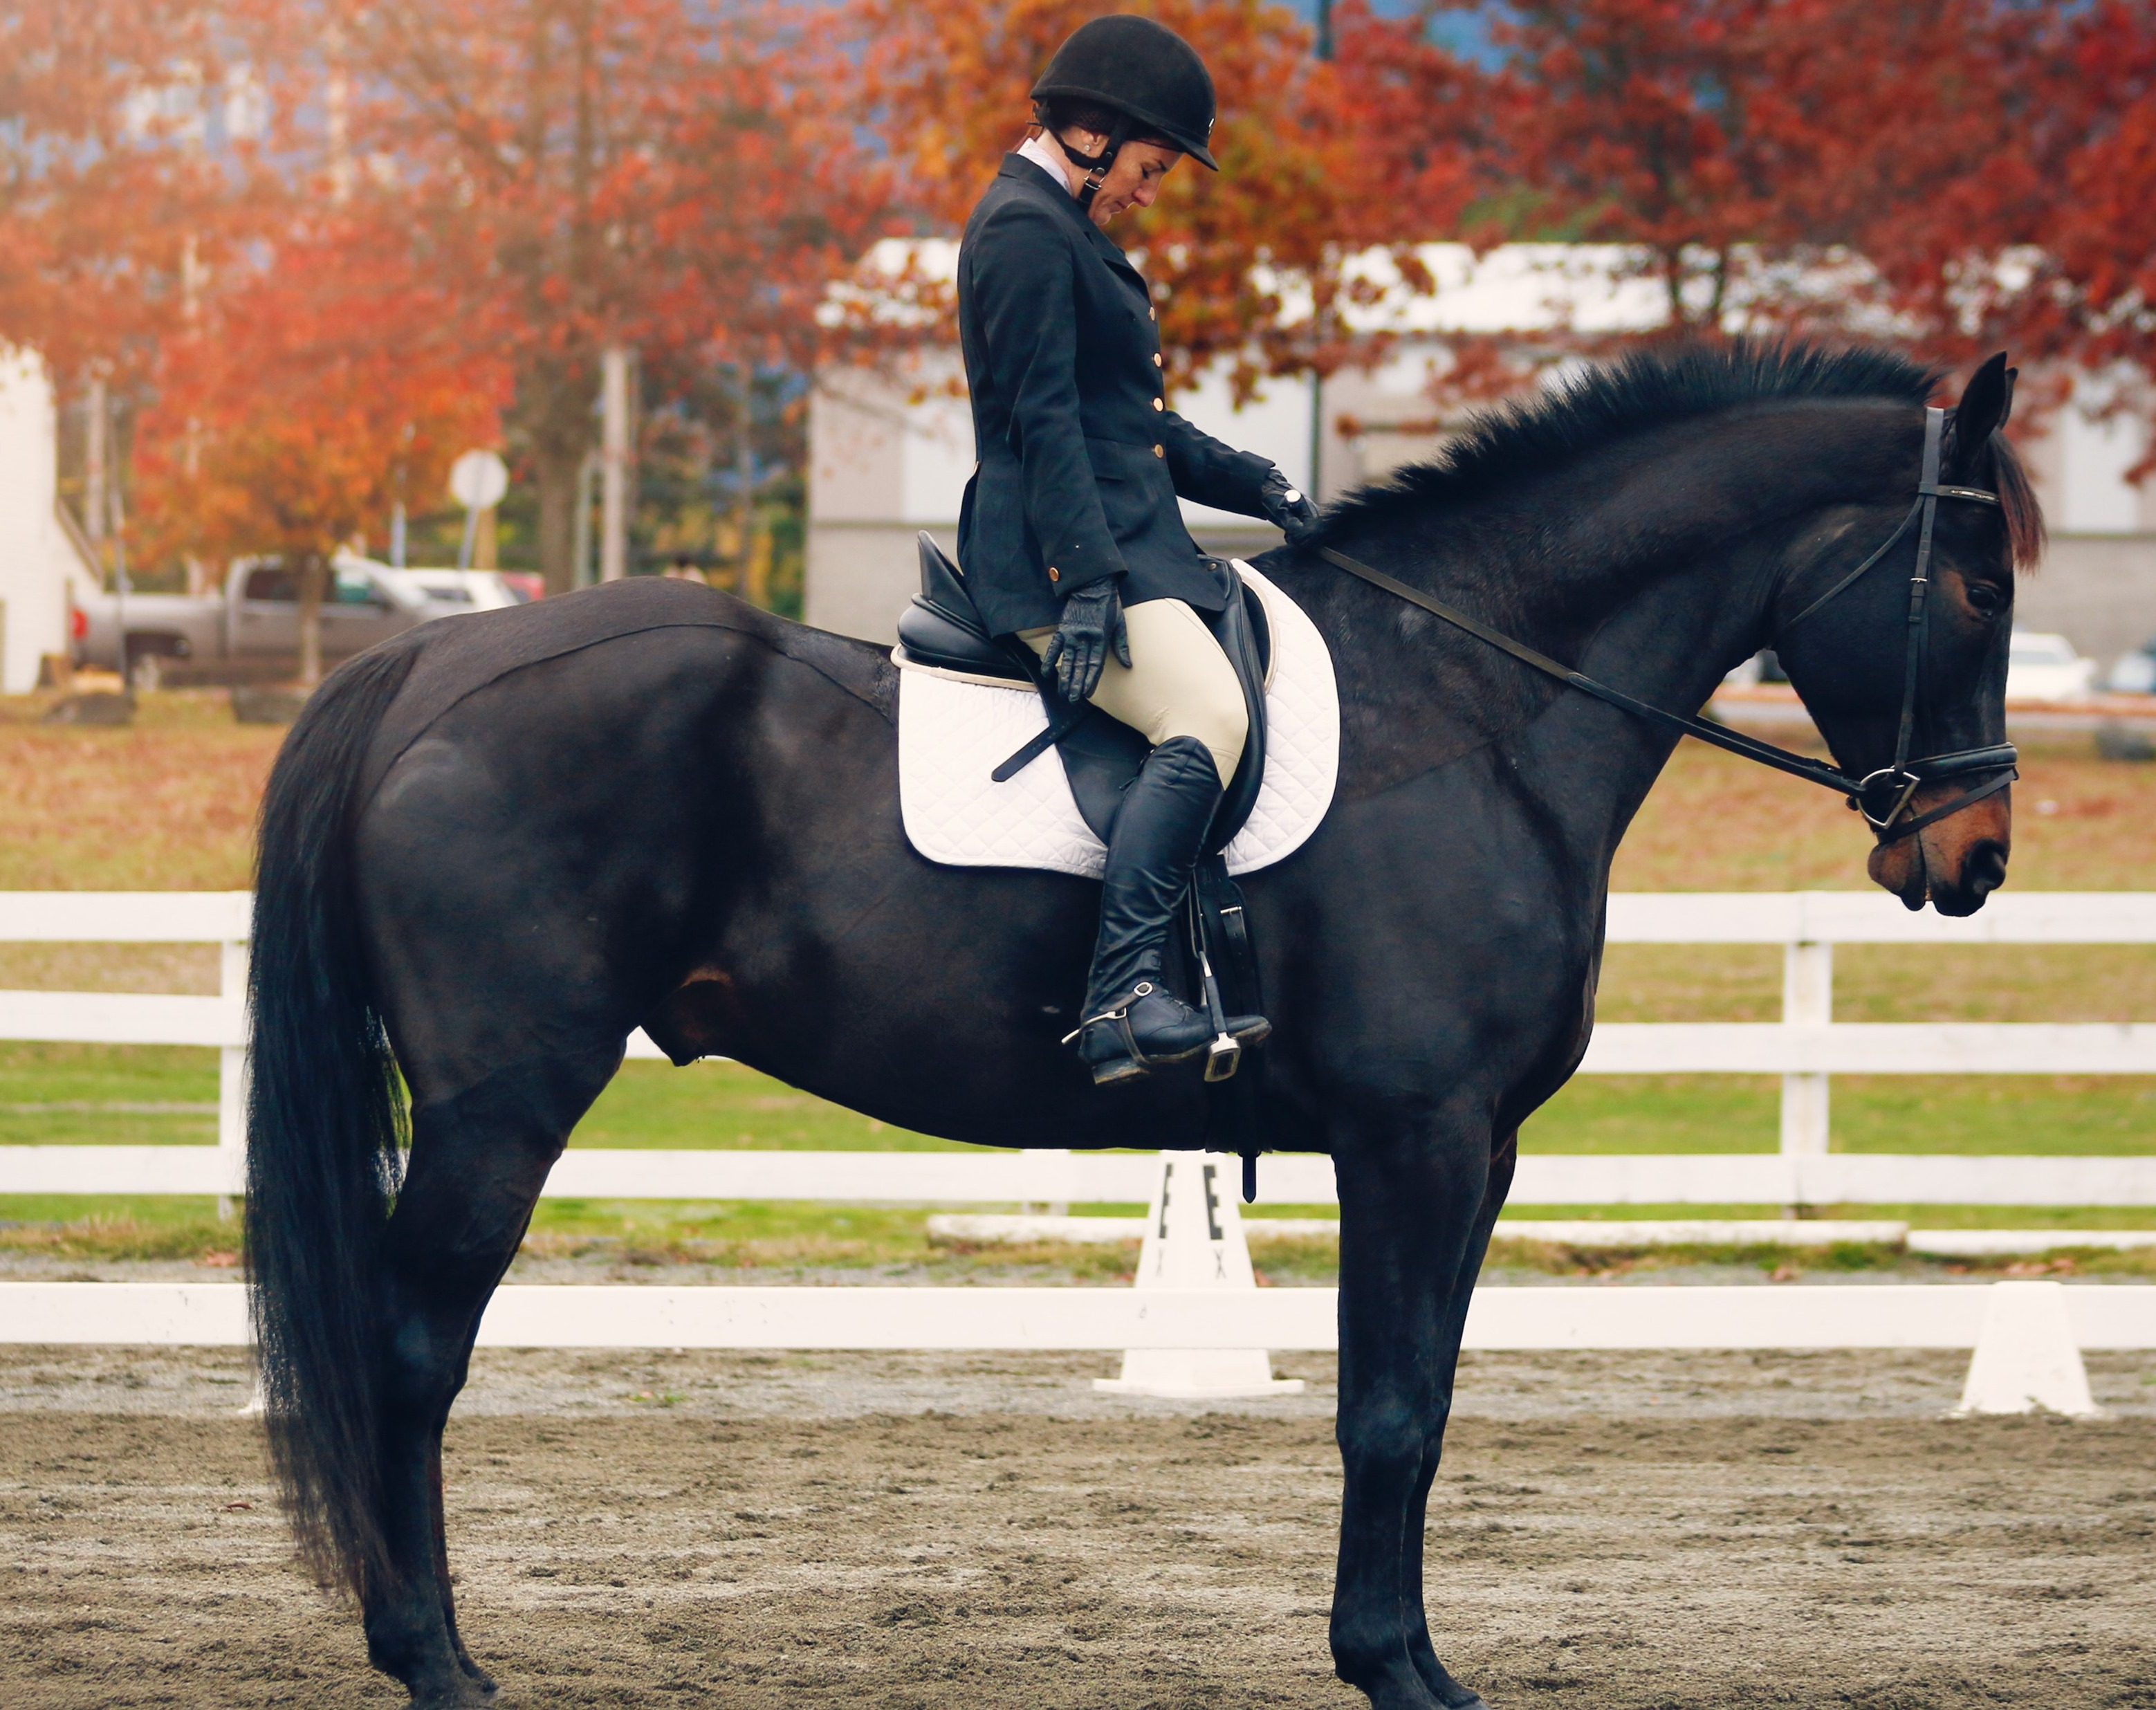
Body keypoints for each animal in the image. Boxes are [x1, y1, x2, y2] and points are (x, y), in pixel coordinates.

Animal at [244, 341, 2038, 1709]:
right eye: (1973, 581)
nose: (1968, 860)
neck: (1478, 704)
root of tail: (426, 666)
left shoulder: (1480, 1155)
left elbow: (1423, 1404)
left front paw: (1405, 1658)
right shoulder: (1414, 1137)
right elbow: (1385, 1411)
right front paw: (1390, 1669)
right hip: (502, 1101)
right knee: (410, 1348)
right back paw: (435, 1662)